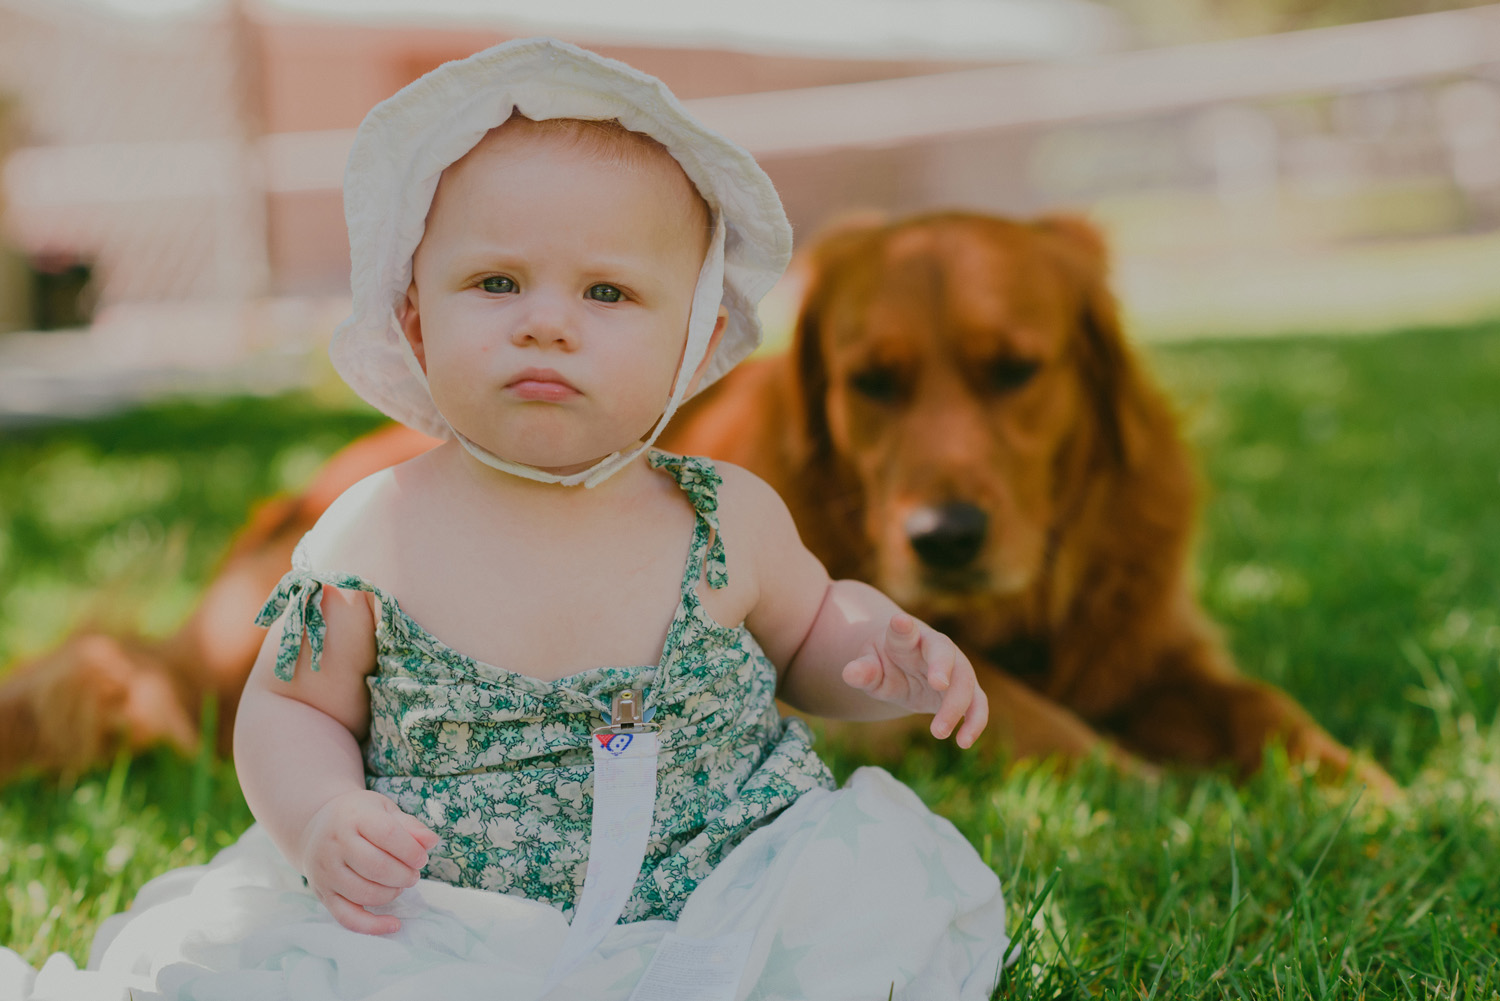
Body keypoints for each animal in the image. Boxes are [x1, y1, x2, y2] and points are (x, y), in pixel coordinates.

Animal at [0, 216, 1392, 792]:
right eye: (873, 383)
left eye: (1018, 370)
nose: (945, 541)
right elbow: (1035, 717)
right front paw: (1165, 796)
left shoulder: (1157, 643)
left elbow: (1264, 708)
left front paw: (1359, 789)